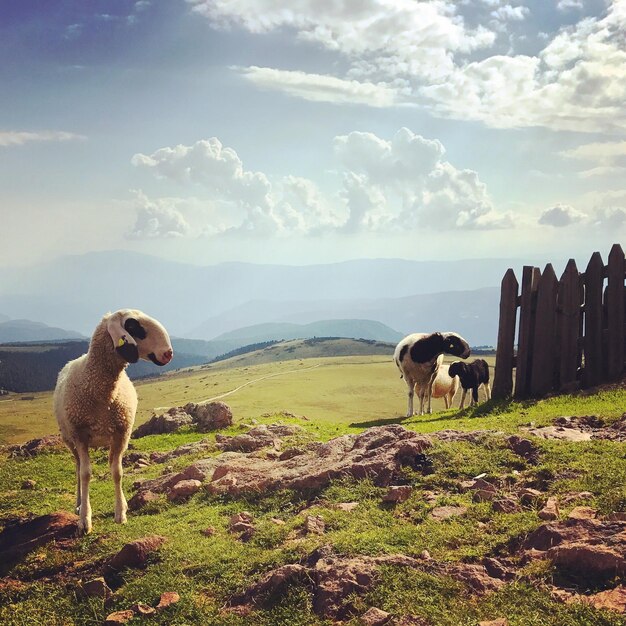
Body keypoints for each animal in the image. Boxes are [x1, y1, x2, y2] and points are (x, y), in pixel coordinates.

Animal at [51, 308, 172, 532]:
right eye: (132, 325)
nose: (168, 353)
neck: (101, 392)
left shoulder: (121, 433)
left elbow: (117, 472)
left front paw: (120, 514)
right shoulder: (80, 435)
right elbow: (85, 474)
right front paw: (85, 520)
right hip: (69, 439)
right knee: (78, 467)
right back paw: (79, 504)